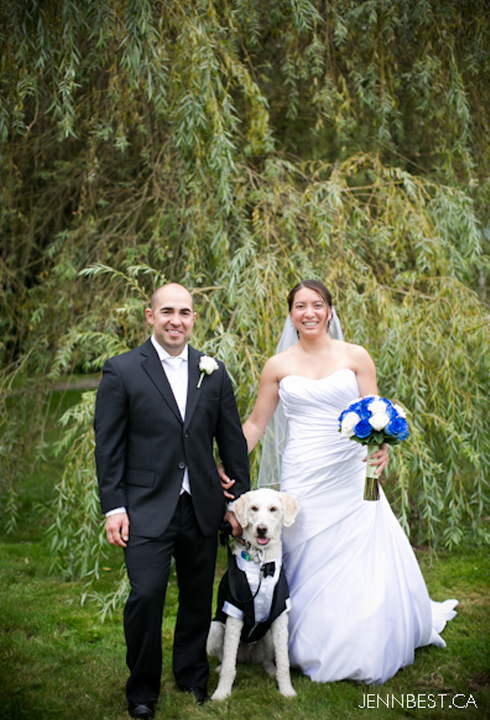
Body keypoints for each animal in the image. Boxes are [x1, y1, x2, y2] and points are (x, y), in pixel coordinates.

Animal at [206, 486, 298, 700]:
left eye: (273, 509)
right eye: (254, 508)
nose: (261, 529)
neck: (261, 561)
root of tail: (247, 657)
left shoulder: (280, 615)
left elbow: (284, 661)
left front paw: (286, 690)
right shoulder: (235, 614)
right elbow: (229, 666)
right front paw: (221, 693)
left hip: (268, 637)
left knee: (266, 660)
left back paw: (270, 670)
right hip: (215, 630)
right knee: (227, 659)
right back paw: (220, 668)